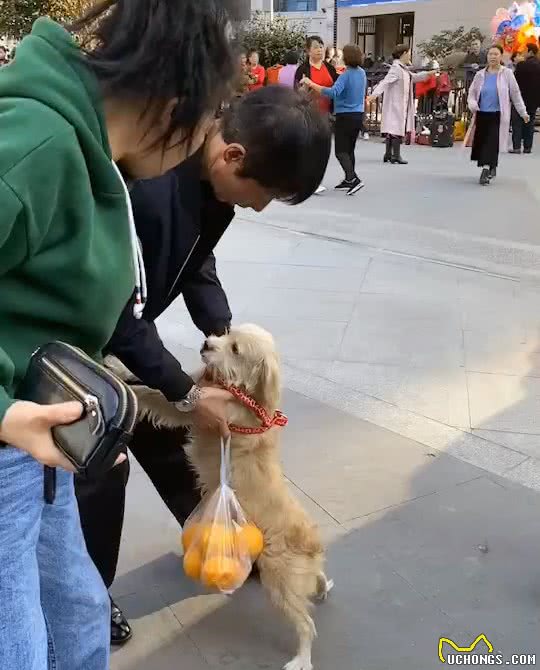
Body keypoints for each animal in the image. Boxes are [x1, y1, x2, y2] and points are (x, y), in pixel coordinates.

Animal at [133, 326, 332, 670]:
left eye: (236, 349)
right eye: (226, 332)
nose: (206, 343)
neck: (245, 394)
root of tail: (312, 542)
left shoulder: (192, 408)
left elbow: (152, 394)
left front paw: (120, 380)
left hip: (280, 582)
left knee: (306, 625)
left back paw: (301, 659)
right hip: (293, 576)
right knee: (315, 581)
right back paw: (320, 587)